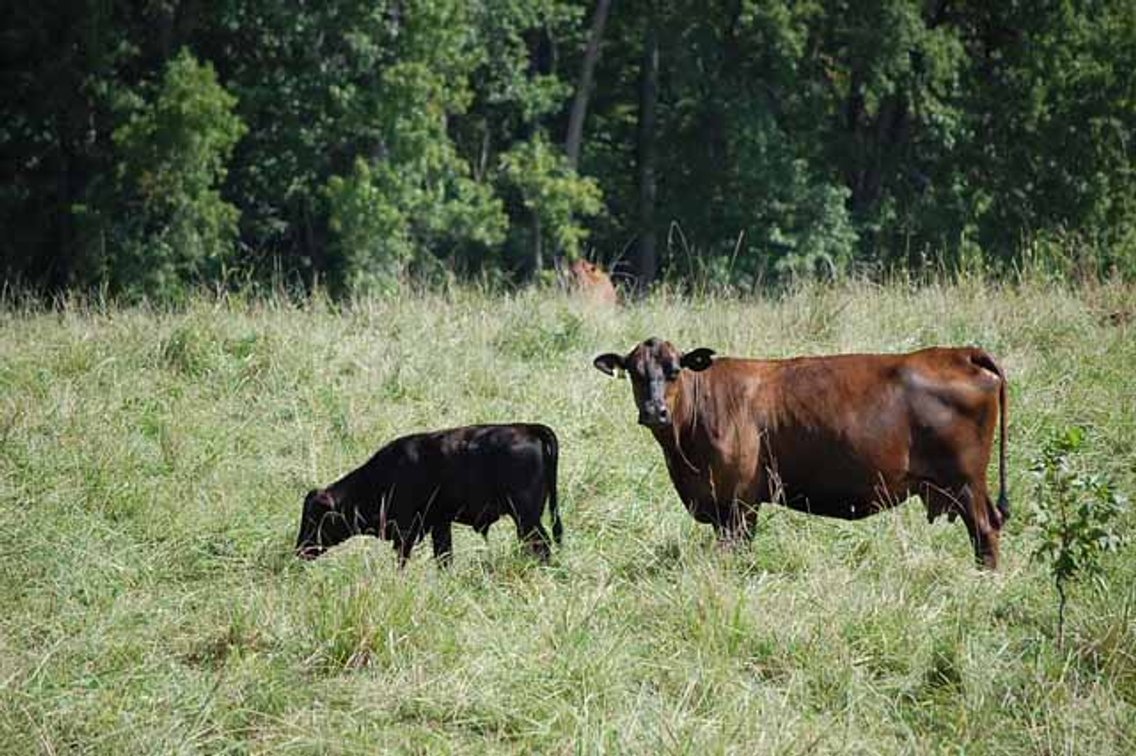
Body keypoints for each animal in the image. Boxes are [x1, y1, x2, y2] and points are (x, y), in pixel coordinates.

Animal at [295, 424, 562, 566]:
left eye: (314, 518)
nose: (299, 550)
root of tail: (529, 428)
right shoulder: (440, 524)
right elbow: (444, 558)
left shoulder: (405, 533)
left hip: (527, 518)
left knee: (541, 544)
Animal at [593, 339, 1009, 568]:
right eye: (634, 373)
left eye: (675, 370)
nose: (655, 411)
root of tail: (961, 353)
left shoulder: (739, 504)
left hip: (965, 482)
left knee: (984, 530)